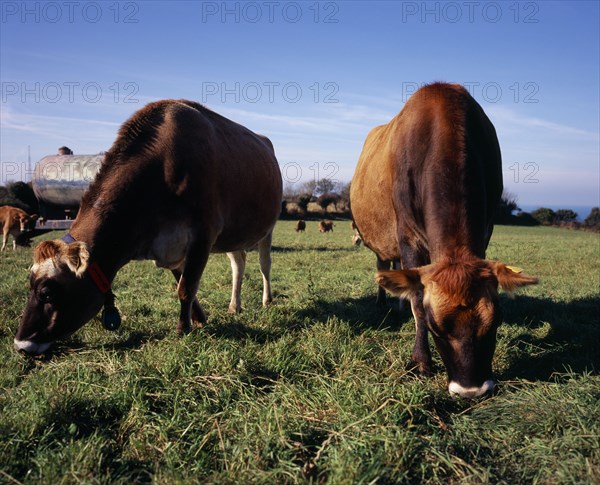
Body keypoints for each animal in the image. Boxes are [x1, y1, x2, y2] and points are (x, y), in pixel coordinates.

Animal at [14, 99, 284, 356]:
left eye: (47, 292)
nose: (21, 345)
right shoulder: (171, 247)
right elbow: (183, 284)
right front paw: (199, 319)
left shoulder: (203, 234)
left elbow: (186, 288)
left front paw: (183, 329)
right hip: (232, 235)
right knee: (238, 265)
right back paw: (234, 306)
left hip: (268, 228)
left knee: (265, 265)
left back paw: (267, 300)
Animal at [350, 83, 536, 398]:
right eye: (435, 327)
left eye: (496, 321)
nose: (471, 391)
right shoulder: (407, 236)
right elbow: (416, 300)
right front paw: (421, 360)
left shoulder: (485, 231)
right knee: (384, 264)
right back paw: (382, 302)